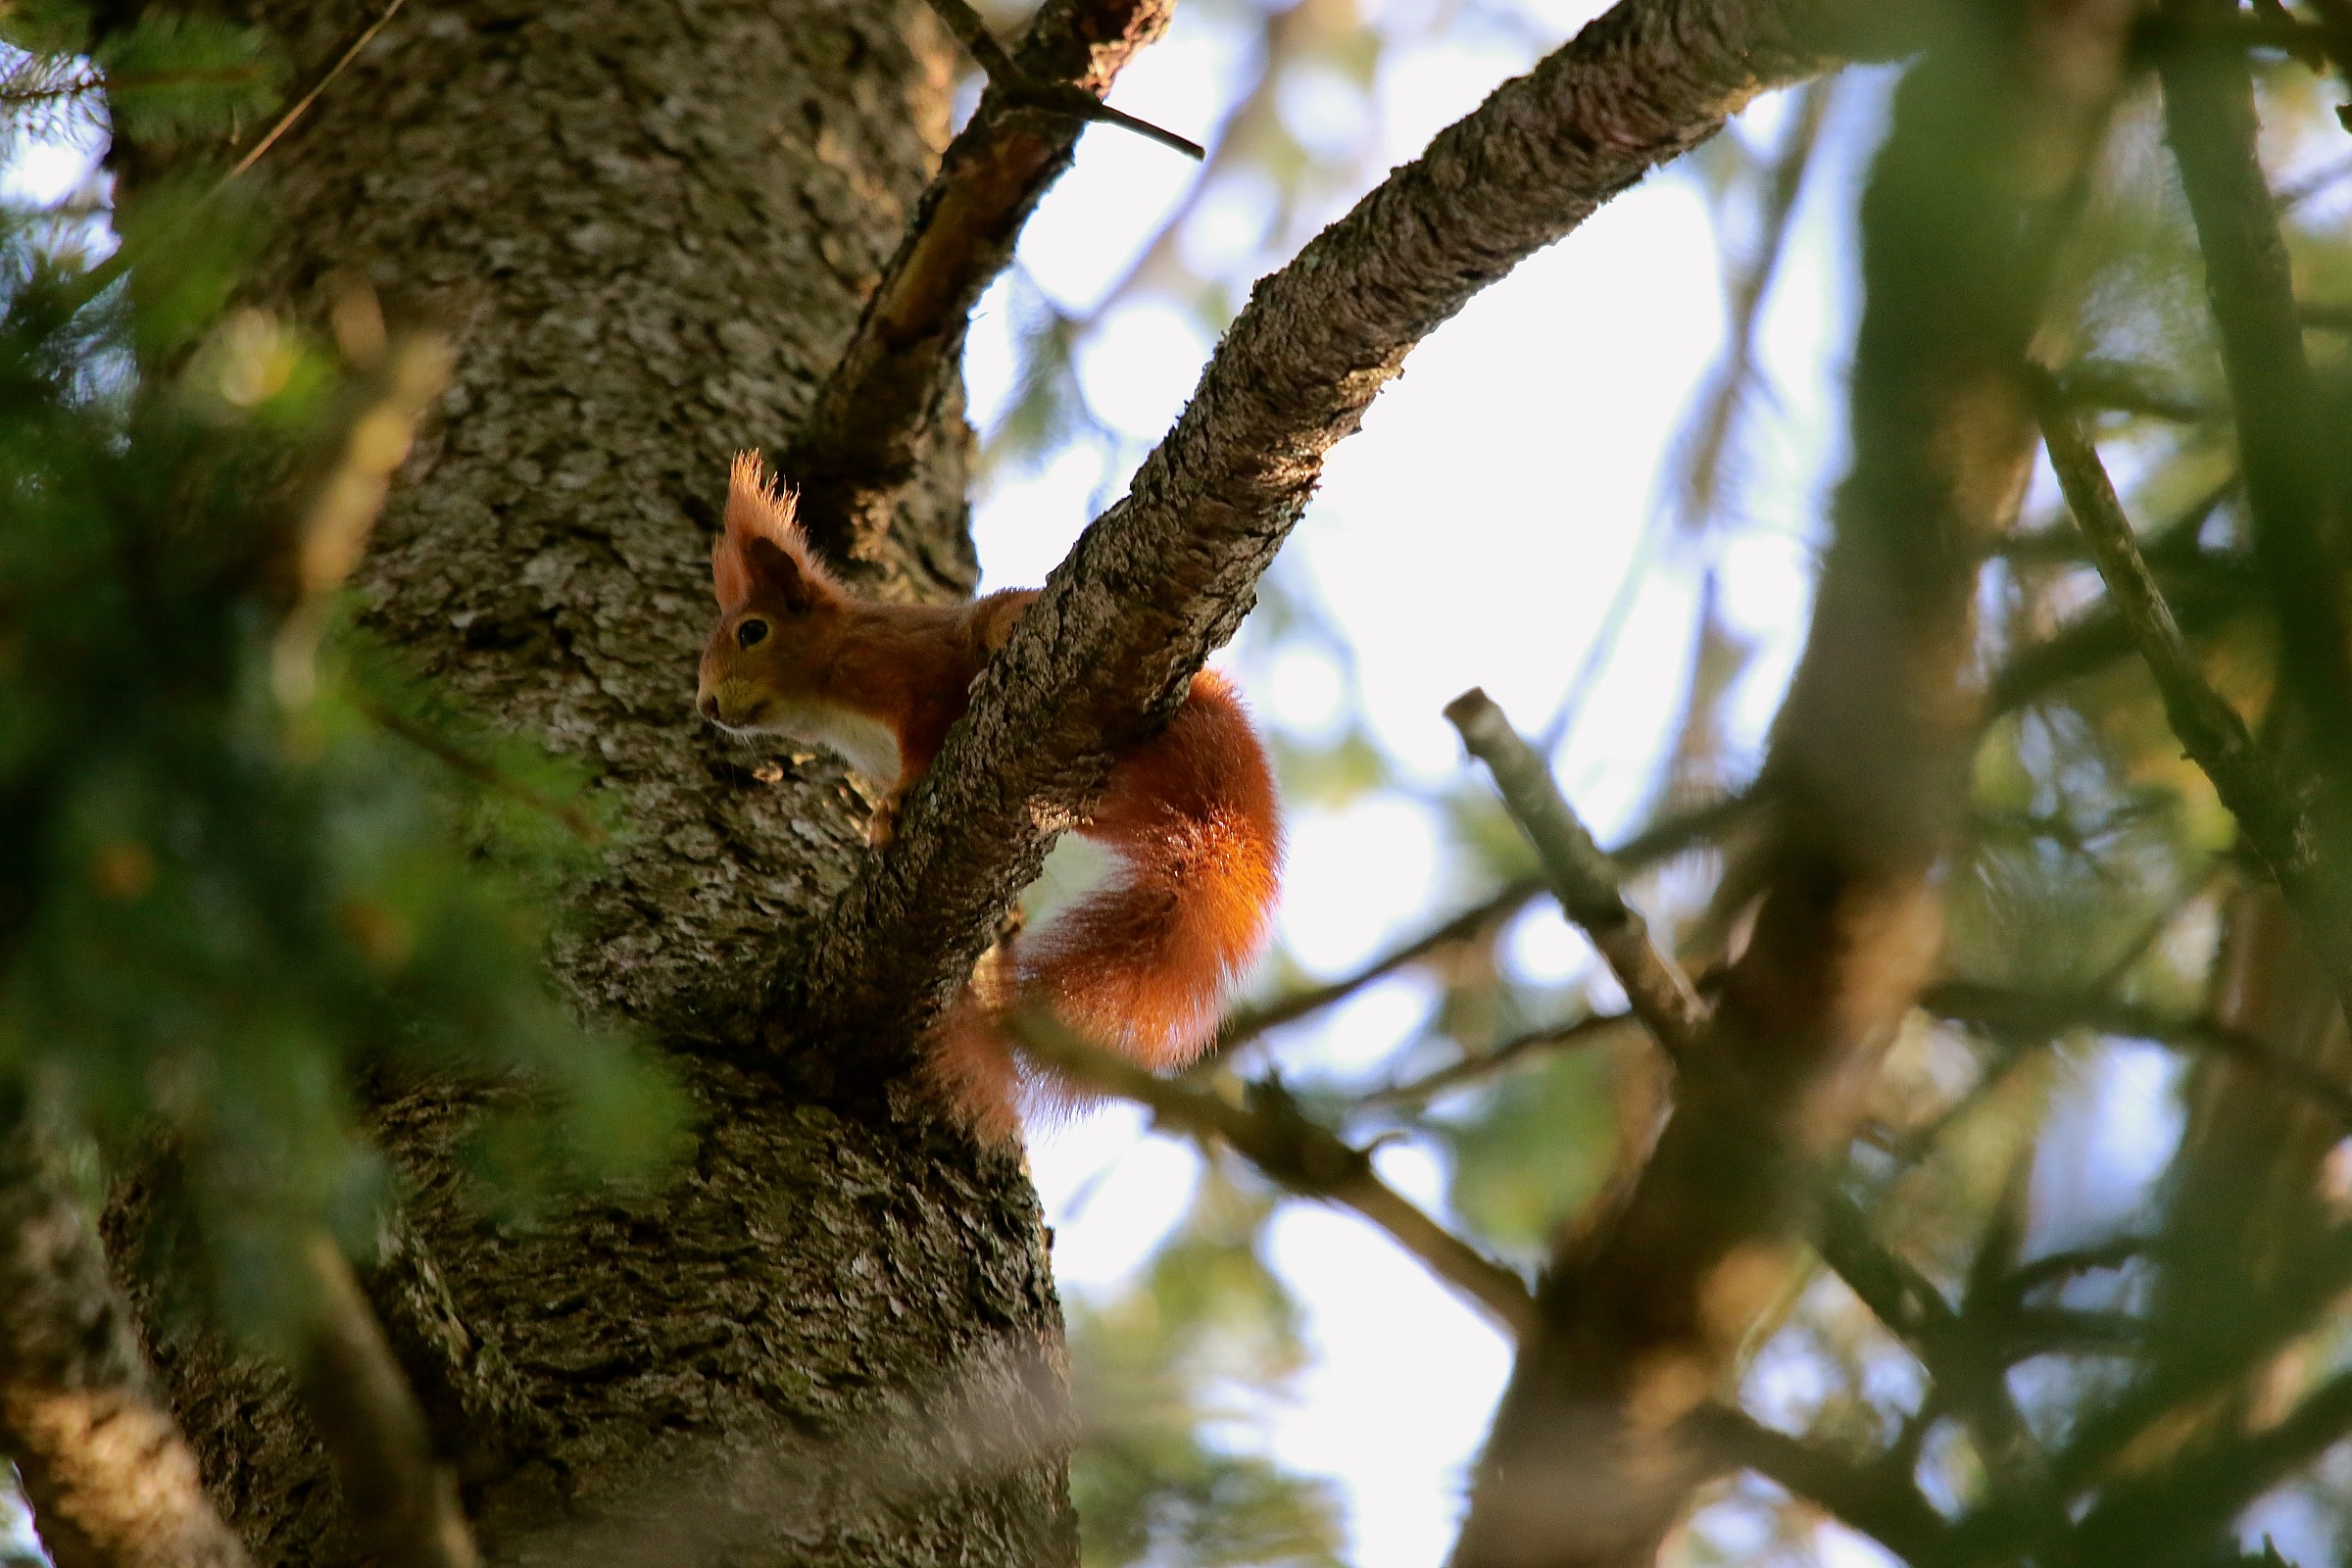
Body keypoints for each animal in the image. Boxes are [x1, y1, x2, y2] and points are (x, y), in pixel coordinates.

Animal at [696, 453, 1283, 1139]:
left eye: (752, 632)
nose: (707, 705)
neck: (828, 697)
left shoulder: (905, 673)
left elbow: (923, 735)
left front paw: (891, 808)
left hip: (1015, 630)